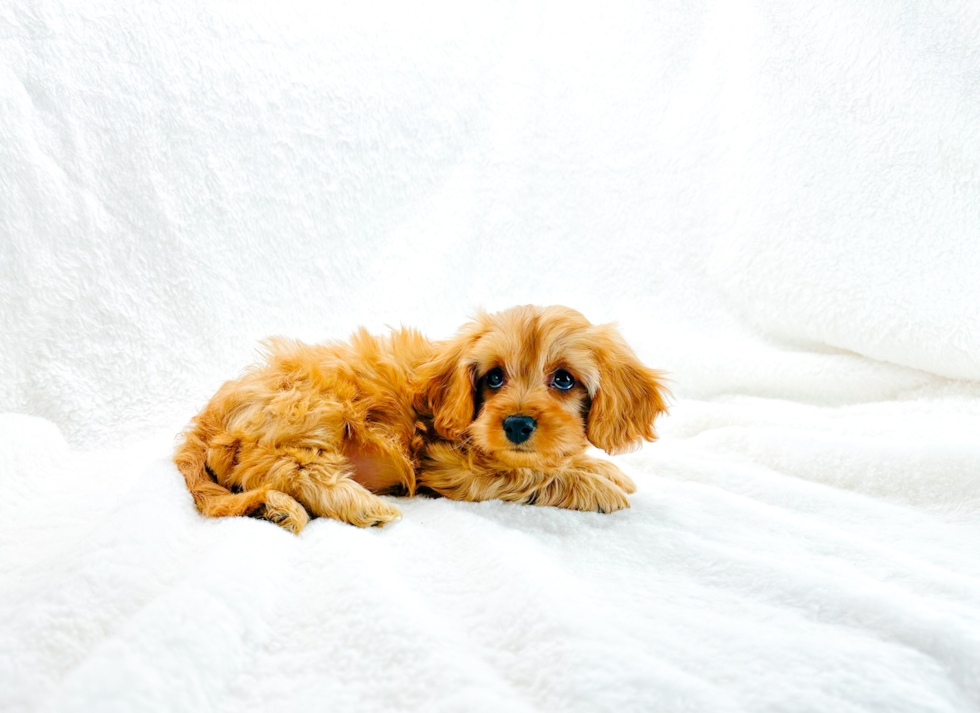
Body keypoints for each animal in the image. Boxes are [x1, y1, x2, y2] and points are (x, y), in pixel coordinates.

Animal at [174, 304, 668, 532]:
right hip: (312, 403)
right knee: (289, 469)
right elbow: (529, 475)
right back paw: (359, 504)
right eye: (494, 377)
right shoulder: (451, 465)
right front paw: (593, 485)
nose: (516, 425)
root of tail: (201, 424)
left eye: (564, 380)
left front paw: (598, 466)